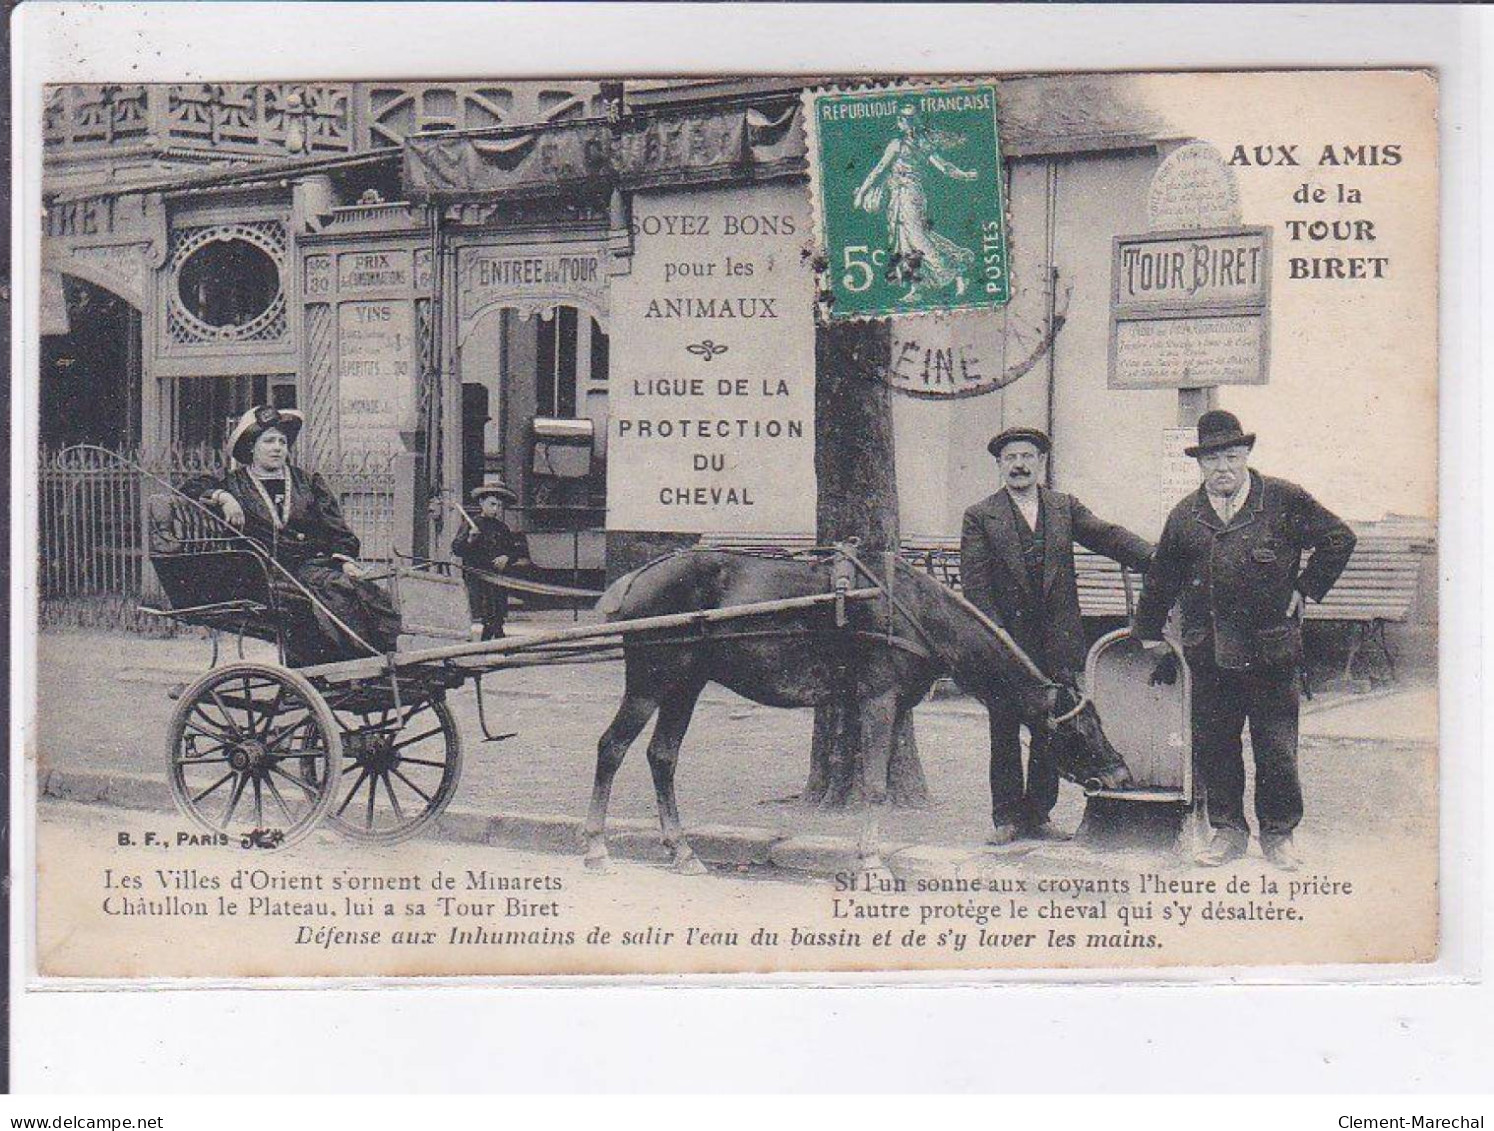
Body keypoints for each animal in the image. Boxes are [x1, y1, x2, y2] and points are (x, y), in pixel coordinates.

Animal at [582, 546, 1129, 872]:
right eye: (1082, 730)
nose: (1120, 774)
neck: (915, 612)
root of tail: (636, 578)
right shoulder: (878, 698)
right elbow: (874, 786)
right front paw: (870, 864)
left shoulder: (895, 705)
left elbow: (877, 781)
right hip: (652, 682)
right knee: (611, 747)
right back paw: (596, 848)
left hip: (685, 685)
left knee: (662, 757)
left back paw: (682, 850)